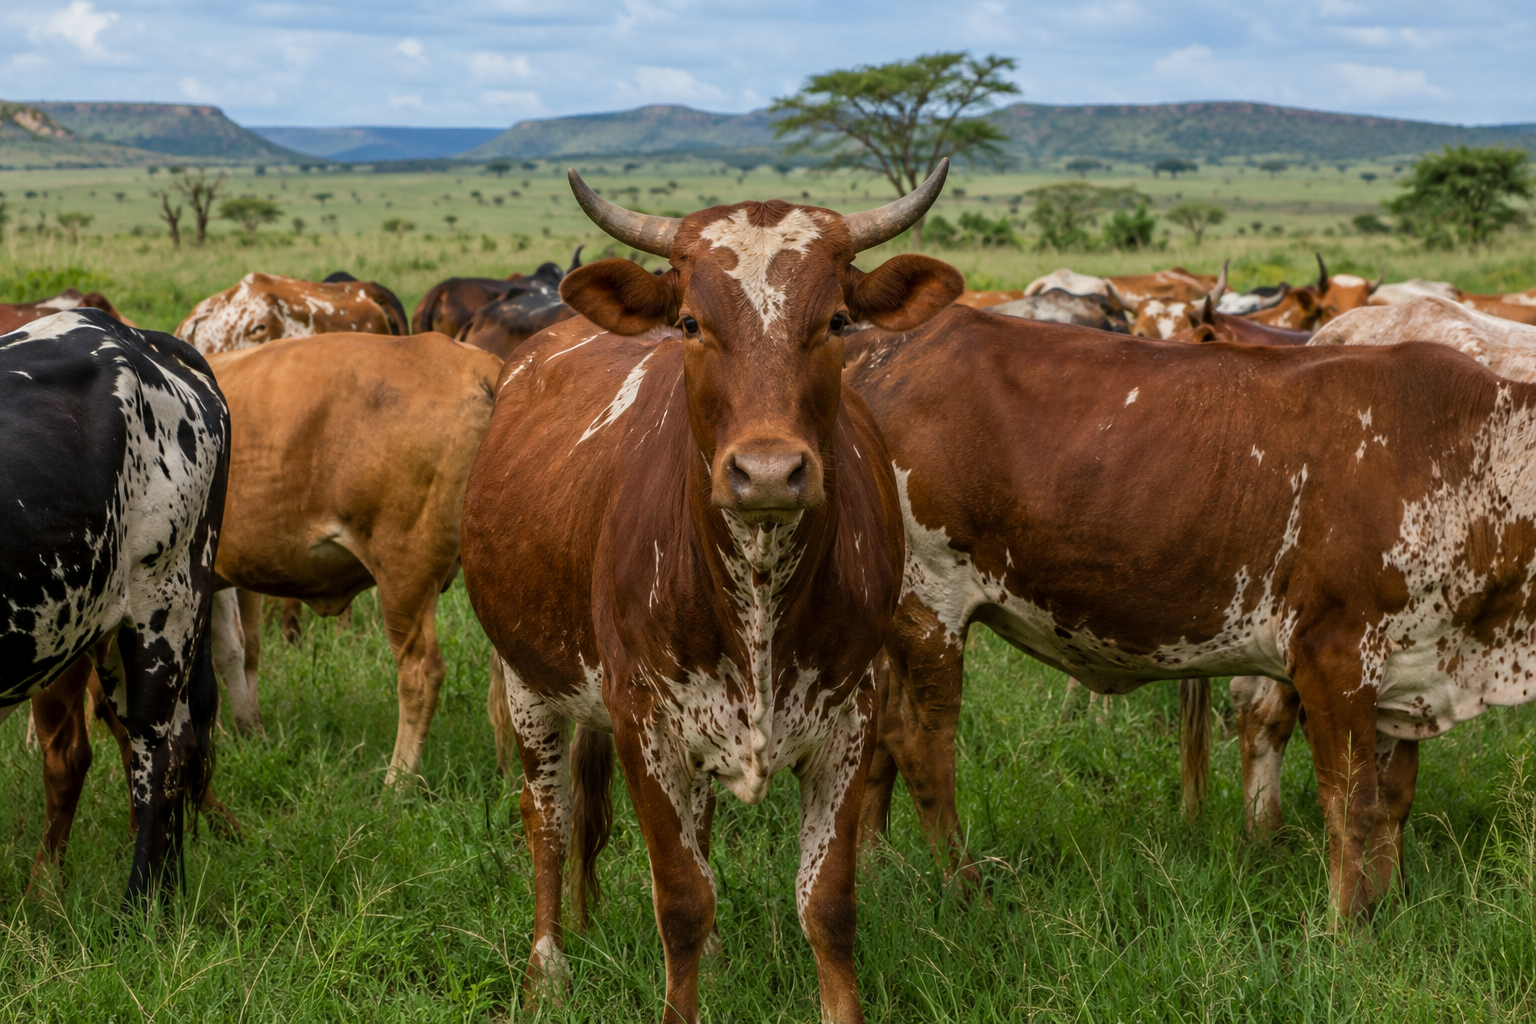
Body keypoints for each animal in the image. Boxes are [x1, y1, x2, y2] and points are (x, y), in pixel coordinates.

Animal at [202, 332, 502, 784]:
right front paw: (245, 733)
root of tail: (469, 360)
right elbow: (237, 650)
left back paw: (397, 781)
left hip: (403, 573)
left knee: (420, 673)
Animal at [460, 165, 958, 1023]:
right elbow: (682, 899)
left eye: (836, 320)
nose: (767, 472)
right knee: (547, 818)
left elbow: (827, 903)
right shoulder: (642, 724)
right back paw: (547, 966)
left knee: (697, 820)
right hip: (528, 679)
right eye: (691, 323)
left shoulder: (849, 719)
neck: (757, 591)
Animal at [844, 306, 1536, 924]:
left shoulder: (1413, 667)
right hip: (930, 604)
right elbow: (1352, 804)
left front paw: (1388, 906)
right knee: (920, 744)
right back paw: (966, 891)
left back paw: (876, 868)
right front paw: (1349, 928)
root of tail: (881, 347)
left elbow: (1393, 801)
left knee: (878, 738)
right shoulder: (1333, 653)